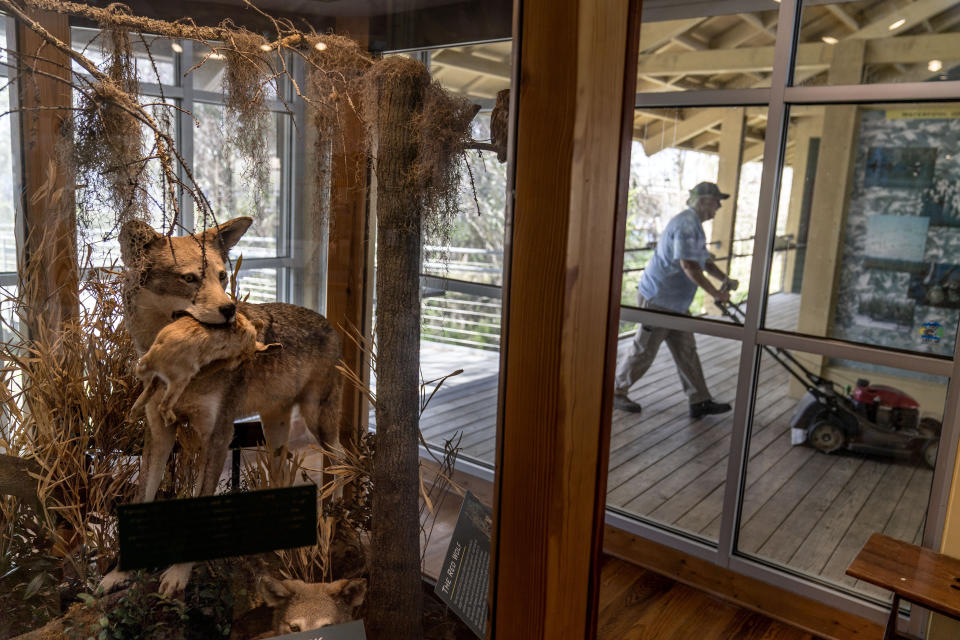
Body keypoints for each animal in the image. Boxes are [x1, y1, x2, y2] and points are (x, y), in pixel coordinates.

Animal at [100, 216, 342, 596]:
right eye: (189, 279)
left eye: (222, 277)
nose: (229, 310)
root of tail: (328, 323)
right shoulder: (159, 433)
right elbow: (142, 496)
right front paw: (119, 573)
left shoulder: (218, 436)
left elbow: (200, 508)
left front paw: (178, 573)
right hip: (274, 432)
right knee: (281, 472)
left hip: (317, 422)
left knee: (342, 458)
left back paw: (333, 507)